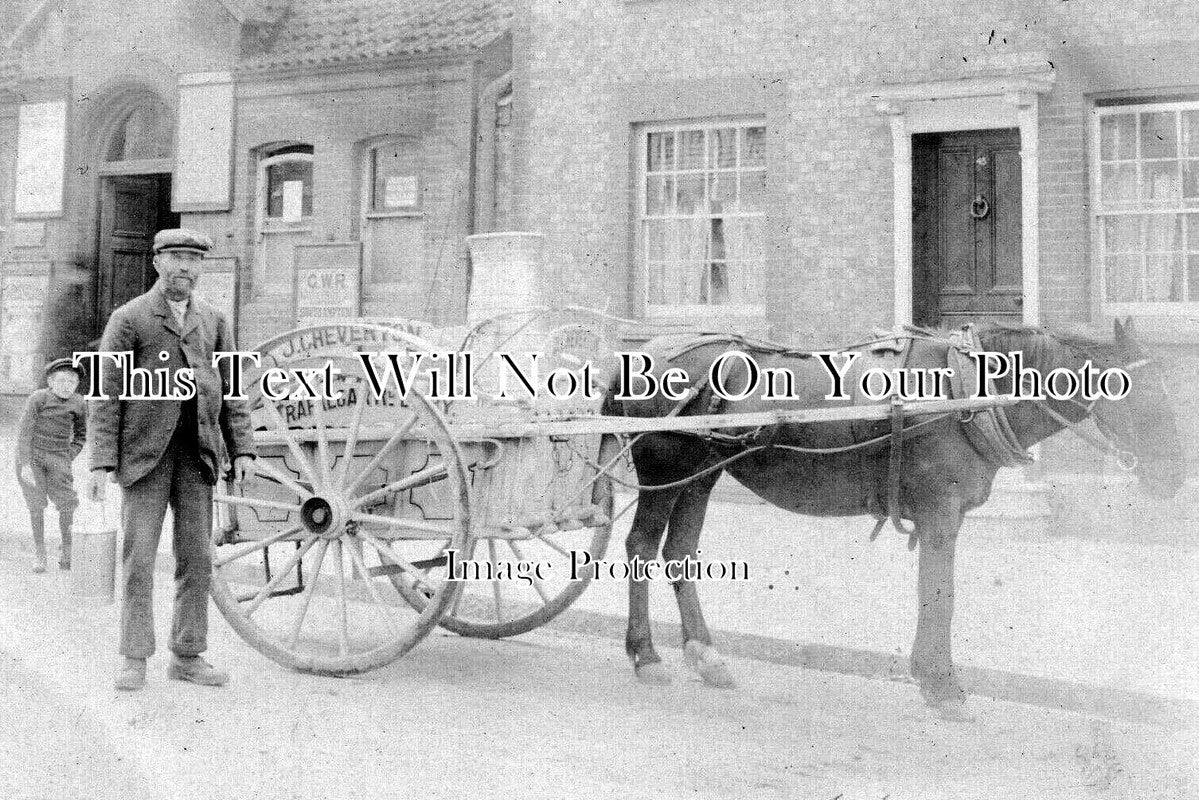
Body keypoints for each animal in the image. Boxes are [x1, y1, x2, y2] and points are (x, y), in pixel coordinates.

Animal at [604, 316, 1184, 710]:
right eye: (1145, 397)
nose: (1173, 479)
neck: (963, 393)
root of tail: (646, 351)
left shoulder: (941, 515)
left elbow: (933, 593)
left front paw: (928, 676)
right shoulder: (940, 511)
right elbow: (941, 596)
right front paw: (944, 686)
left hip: (700, 474)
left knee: (679, 553)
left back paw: (706, 656)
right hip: (665, 468)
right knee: (641, 548)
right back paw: (646, 655)